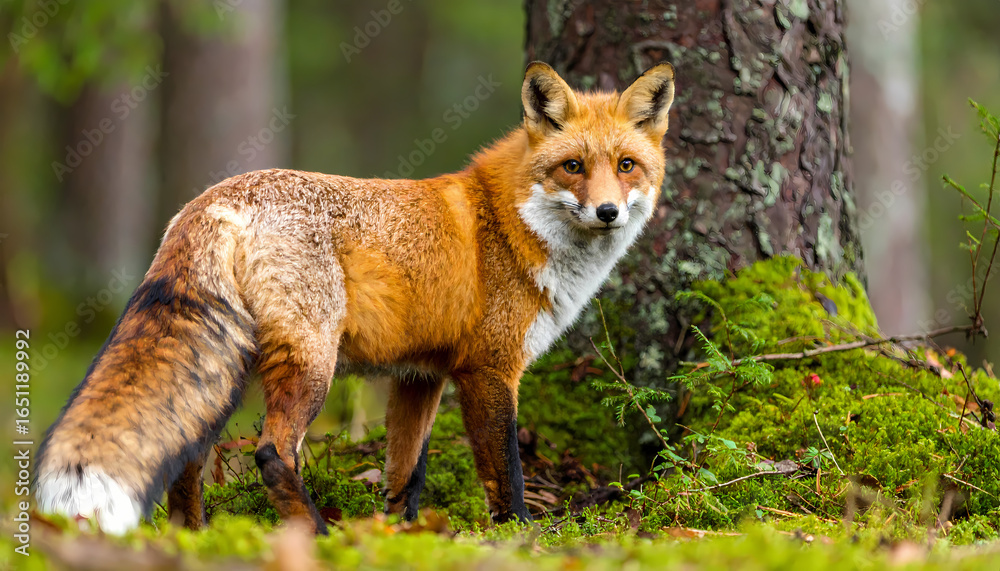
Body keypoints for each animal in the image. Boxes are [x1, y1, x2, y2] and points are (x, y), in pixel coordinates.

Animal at [35, 61, 675, 535]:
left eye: (626, 165)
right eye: (573, 167)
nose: (608, 212)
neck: (510, 224)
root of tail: (212, 198)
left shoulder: (421, 375)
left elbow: (406, 475)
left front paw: (401, 537)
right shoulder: (489, 369)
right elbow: (507, 474)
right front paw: (519, 536)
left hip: (228, 370)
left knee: (186, 458)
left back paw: (192, 538)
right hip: (310, 361)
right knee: (272, 452)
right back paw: (316, 535)